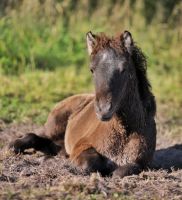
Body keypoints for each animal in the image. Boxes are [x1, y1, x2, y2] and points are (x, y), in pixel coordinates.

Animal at [9, 30, 156, 177]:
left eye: (123, 68)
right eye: (92, 69)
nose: (103, 110)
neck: (125, 132)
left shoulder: (141, 162)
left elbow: (121, 171)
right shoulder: (81, 145)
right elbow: (90, 163)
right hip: (54, 126)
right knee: (34, 135)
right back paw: (14, 146)